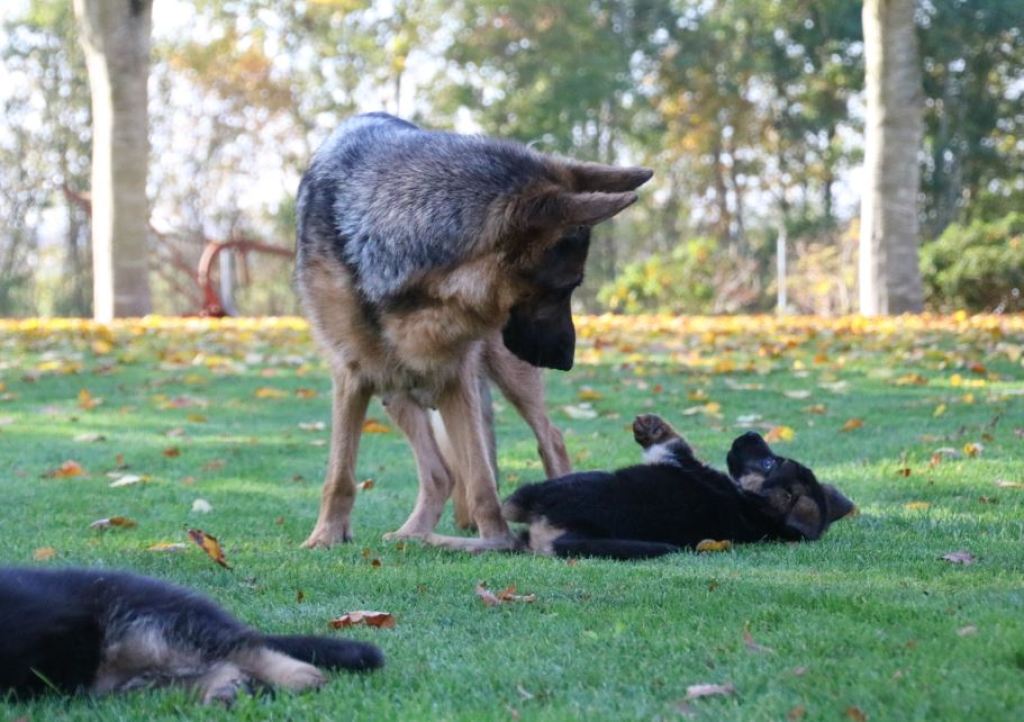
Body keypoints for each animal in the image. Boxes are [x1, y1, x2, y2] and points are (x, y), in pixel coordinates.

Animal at [0, 567, 383, 703]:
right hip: (127, 674)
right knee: (222, 668)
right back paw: (228, 691)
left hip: (150, 625)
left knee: (250, 650)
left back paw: (300, 678)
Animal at [294, 112, 651, 549]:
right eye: (566, 287)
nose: (567, 360)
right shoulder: (353, 376)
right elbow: (340, 475)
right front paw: (325, 536)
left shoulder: (456, 377)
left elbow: (482, 481)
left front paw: (496, 540)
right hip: (393, 389)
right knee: (440, 473)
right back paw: (413, 532)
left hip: (506, 375)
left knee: (550, 437)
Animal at [428, 414, 854, 559]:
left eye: (769, 463)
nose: (747, 434)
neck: (754, 510)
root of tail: (562, 536)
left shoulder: (678, 461)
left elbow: (675, 443)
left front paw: (652, 426)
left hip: (552, 489)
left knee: (504, 512)